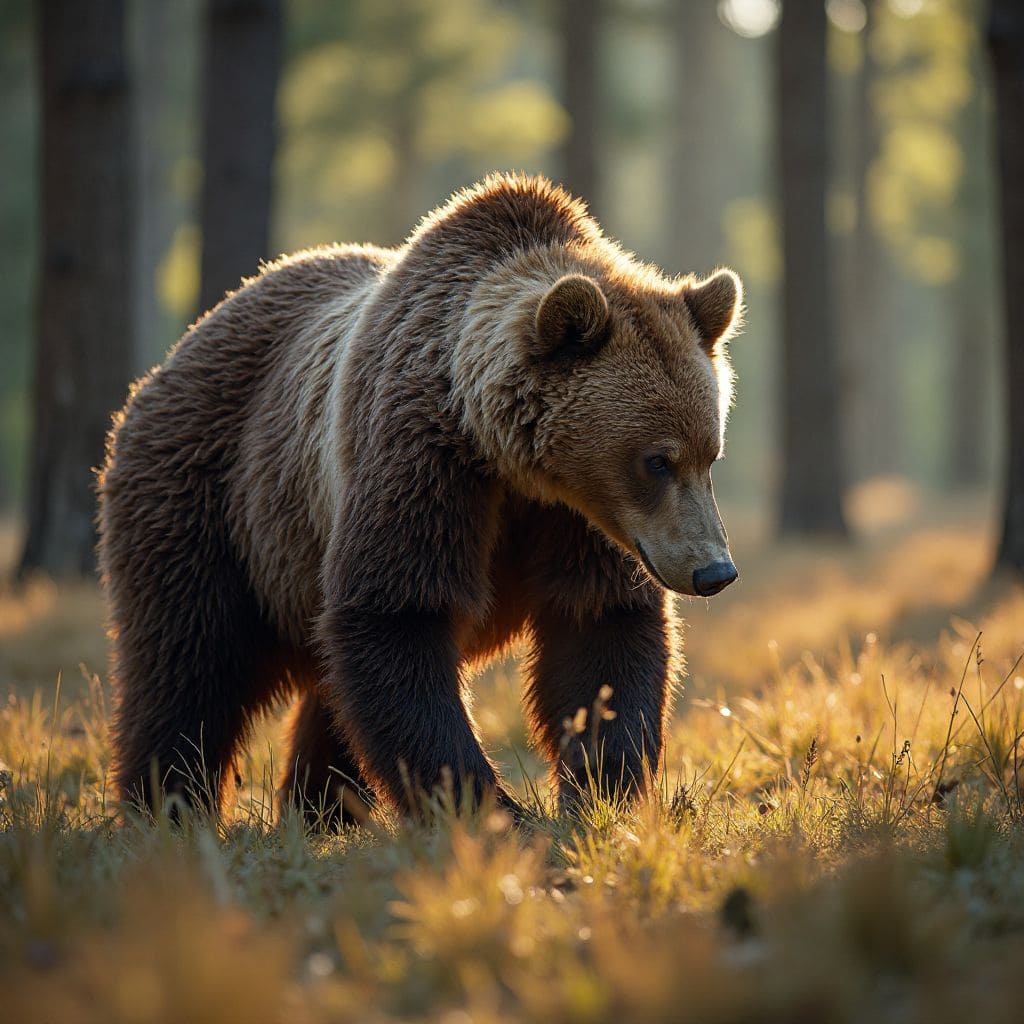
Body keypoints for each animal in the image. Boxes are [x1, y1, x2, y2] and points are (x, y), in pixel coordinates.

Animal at [98, 173, 743, 825]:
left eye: (709, 453)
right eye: (657, 460)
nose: (715, 571)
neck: (507, 459)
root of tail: (182, 347)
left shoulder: (576, 520)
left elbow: (600, 628)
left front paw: (600, 788)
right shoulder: (418, 461)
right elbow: (396, 614)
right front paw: (493, 808)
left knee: (325, 687)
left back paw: (320, 807)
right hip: (213, 501)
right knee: (191, 659)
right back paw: (169, 802)